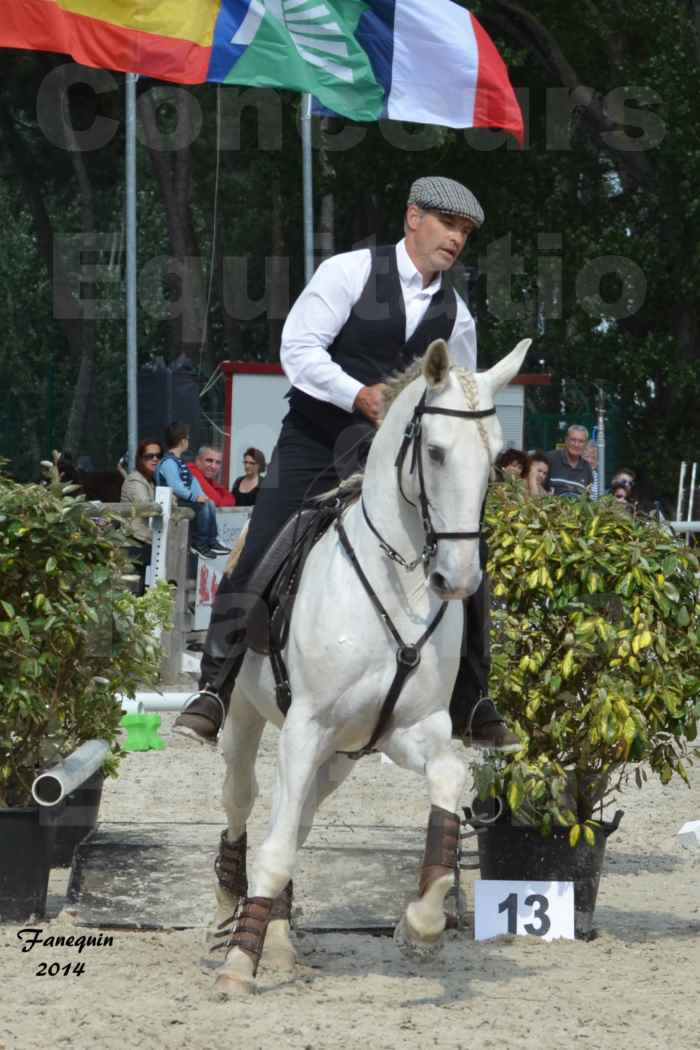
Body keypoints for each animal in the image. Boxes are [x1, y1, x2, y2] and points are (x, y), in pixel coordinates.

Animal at [210, 333, 528, 991]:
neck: (397, 583)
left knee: (296, 819)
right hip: (250, 722)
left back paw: (279, 939)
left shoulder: (411, 729)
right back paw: (233, 906)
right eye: (434, 452)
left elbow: (448, 780)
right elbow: (273, 847)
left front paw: (423, 921)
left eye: (494, 461)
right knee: (244, 802)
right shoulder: (305, 726)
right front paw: (238, 966)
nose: (458, 580)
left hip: (338, 758)